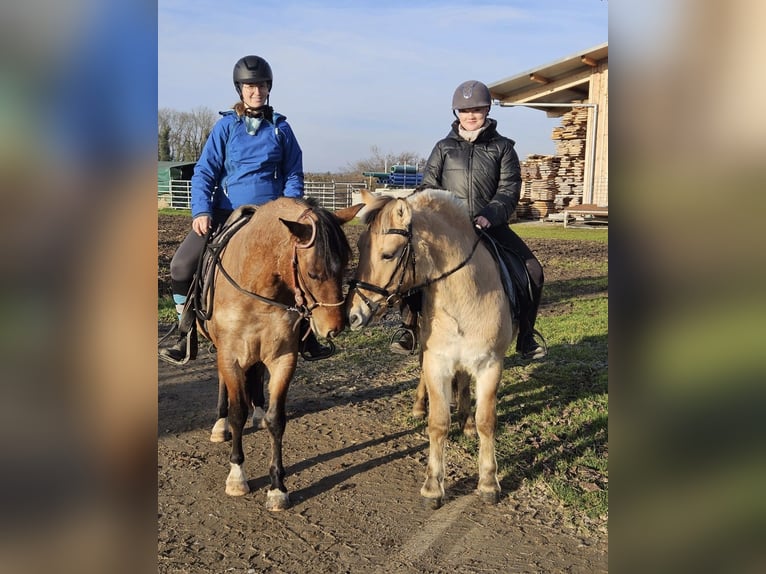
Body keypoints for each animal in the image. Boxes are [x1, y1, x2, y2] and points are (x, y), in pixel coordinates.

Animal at [201, 196, 362, 510]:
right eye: (313, 273)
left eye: (344, 268)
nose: (335, 328)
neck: (257, 289)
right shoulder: (230, 357)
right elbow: (237, 412)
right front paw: (237, 477)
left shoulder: (283, 358)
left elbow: (277, 420)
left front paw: (277, 488)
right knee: (225, 388)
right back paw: (220, 425)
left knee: (256, 379)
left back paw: (258, 412)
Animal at [346, 188, 517, 508]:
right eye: (360, 246)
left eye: (388, 254)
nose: (353, 316)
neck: (465, 295)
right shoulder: (437, 362)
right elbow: (437, 424)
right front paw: (433, 486)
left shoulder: (490, 364)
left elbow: (486, 421)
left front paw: (489, 482)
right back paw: (419, 407)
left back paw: (465, 420)